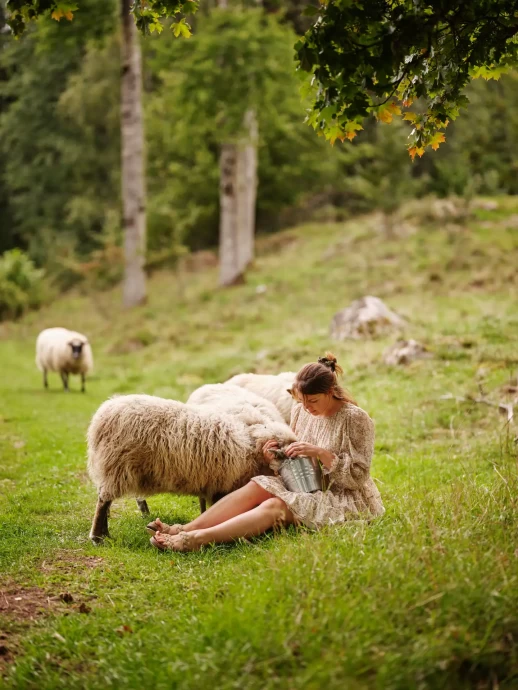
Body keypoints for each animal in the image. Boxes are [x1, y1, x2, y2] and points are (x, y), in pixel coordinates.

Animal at [87, 392, 294, 544]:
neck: (251, 445)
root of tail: (104, 412)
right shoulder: (225, 483)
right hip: (116, 469)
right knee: (103, 502)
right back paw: (97, 537)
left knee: (106, 500)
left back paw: (105, 533)